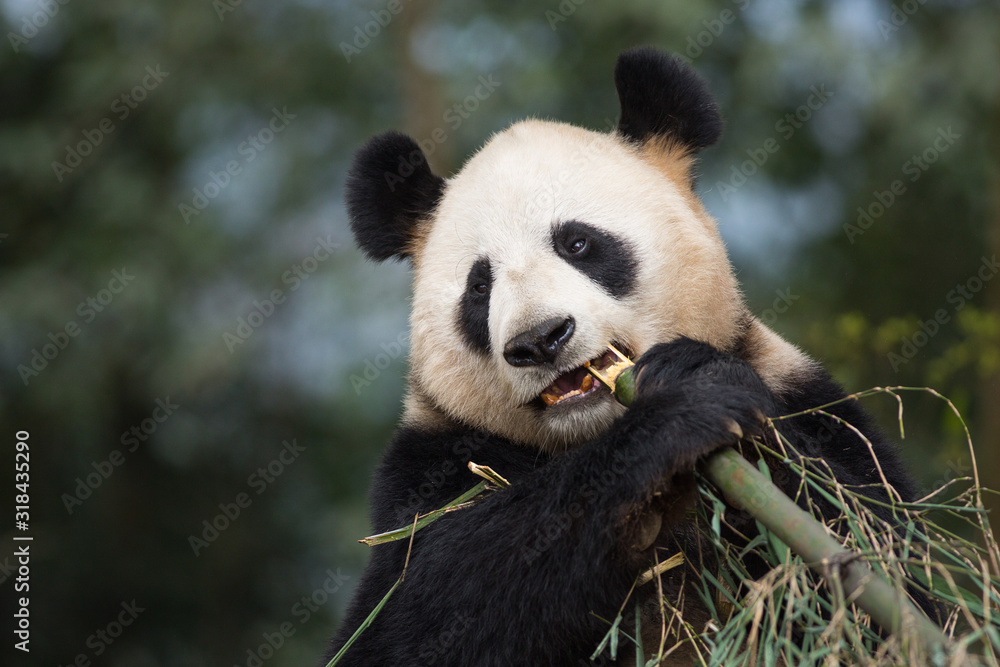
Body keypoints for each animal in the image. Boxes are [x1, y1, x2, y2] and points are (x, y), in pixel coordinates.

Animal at [324, 47, 921, 666]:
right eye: (479, 287)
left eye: (578, 243)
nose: (541, 339)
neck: (590, 427)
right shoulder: (427, 469)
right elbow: (419, 613)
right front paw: (680, 414)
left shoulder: (807, 397)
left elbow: (883, 562)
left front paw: (701, 378)